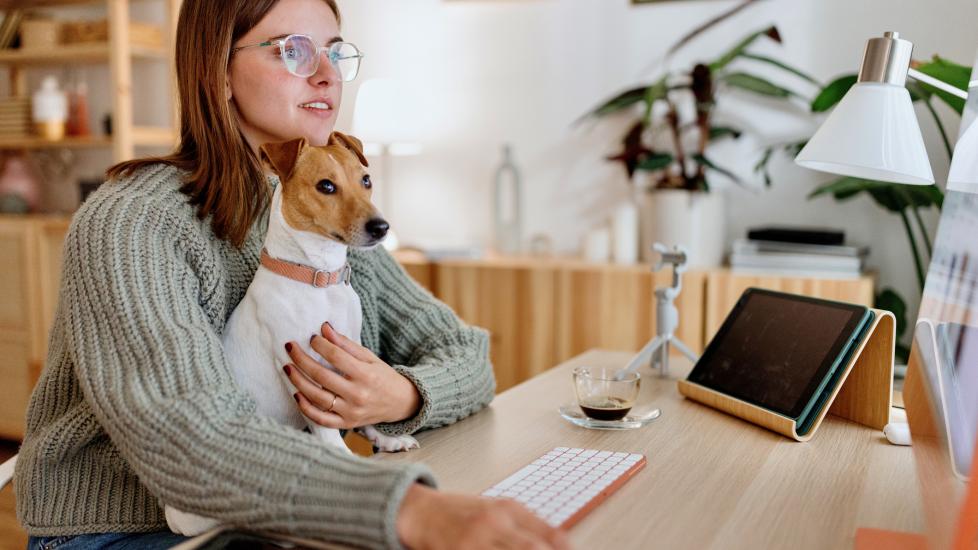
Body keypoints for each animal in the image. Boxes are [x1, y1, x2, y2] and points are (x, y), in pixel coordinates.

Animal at [166, 132, 418, 536]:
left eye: (366, 180)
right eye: (326, 186)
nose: (382, 227)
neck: (317, 278)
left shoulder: (350, 358)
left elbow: (362, 413)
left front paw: (383, 439)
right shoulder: (302, 369)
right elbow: (328, 428)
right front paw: (347, 463)